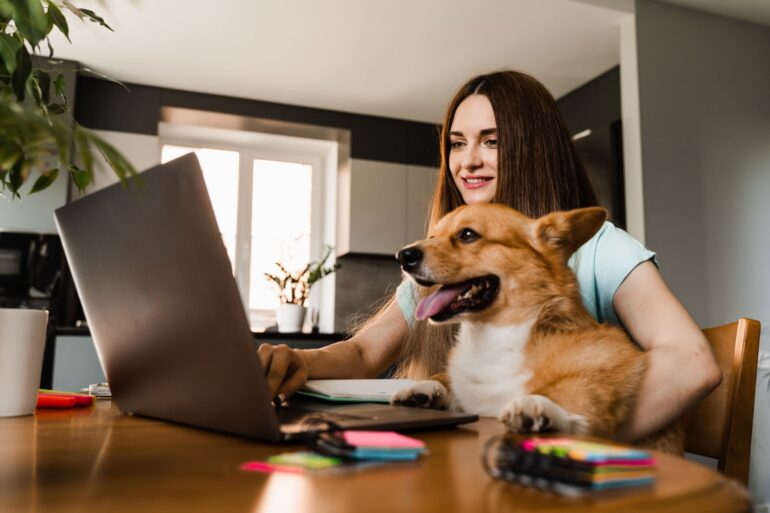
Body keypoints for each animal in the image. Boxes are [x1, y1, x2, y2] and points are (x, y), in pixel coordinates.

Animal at [392, 203, 680, 452]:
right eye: (432, 235)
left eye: (468, 235)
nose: (402, 255)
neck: (494, 335)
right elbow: (444, 379)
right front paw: (426, 388)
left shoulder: (611, 360)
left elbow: (574, 391)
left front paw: (539, 406)